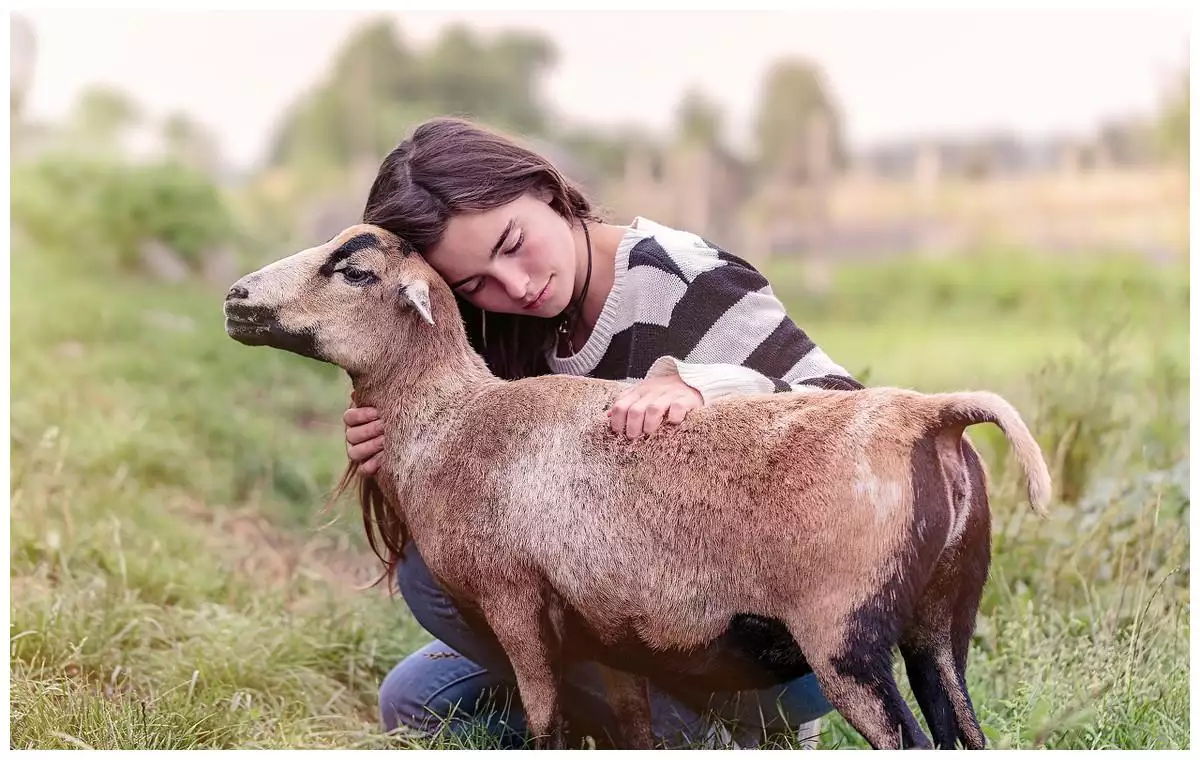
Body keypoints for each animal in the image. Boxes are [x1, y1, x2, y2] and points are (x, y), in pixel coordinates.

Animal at [223, 223, 1051, 749]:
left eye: (355, 270)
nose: (235, 299)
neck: (452, 420)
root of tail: (931, 417)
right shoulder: (611, 633)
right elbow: (632, 728)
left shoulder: (516, 604)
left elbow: (547, 724)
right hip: (941, 623)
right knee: (966, 731)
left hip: (845, 637)